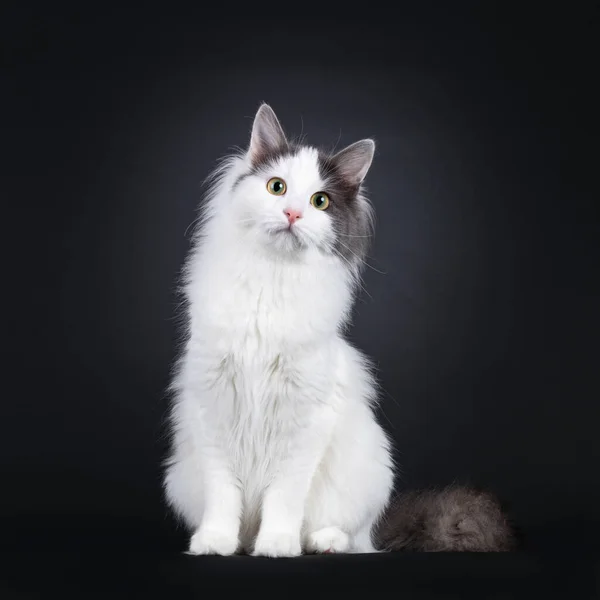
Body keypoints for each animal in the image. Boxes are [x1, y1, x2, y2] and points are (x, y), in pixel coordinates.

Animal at [162, 104, 396, 556]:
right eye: (276, 187)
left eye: (320, 201)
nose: (292, 214)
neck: (270, 282)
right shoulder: (213, 407)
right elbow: (223, 494)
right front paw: (216, 541)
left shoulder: (305, 419)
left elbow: (285, 496)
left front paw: (276, 544)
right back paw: (241, 542)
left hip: (369, 470)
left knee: (351, 533)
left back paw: (322, 542)